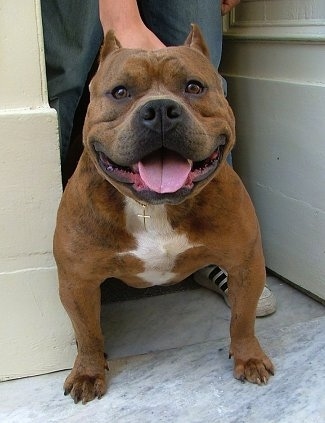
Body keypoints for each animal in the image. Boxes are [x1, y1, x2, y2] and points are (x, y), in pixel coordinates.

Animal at [53, 24, 274, 406]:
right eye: (120, 92)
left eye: (194, 87)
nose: (159, 109)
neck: (153, 208)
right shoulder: (77, 281)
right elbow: (88, 332)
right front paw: (88, 370)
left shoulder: (245, 265)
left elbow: (242, 319)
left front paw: (248, 357)